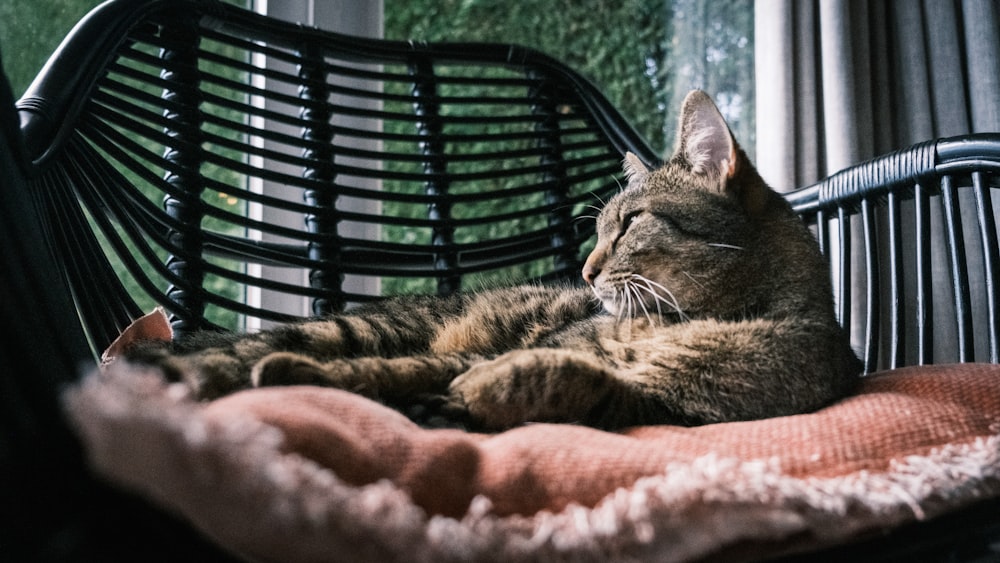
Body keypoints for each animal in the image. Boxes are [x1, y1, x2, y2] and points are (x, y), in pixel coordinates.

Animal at [123, 90, 860, 432]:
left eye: (628, 225)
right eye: (600, 230)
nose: (585, 273)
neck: (688, 322)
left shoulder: (670, 406)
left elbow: (576, 380)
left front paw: (482, 393)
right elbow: (392, 371)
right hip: (356, 327)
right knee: (241, 350)